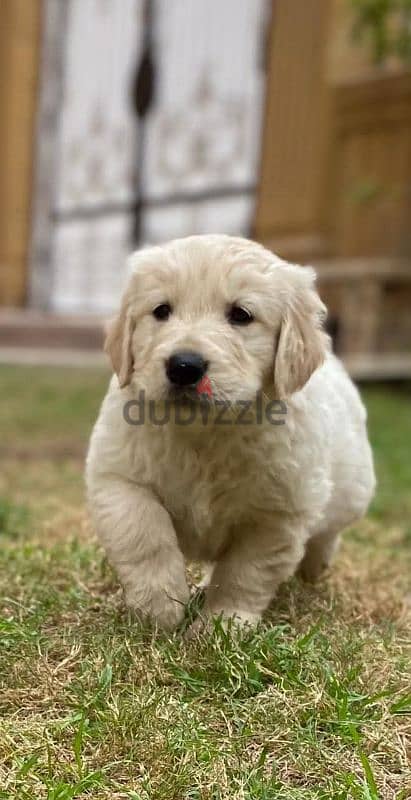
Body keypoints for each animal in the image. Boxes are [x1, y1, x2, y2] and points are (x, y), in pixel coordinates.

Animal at [87, 234, 376, 628]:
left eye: (241, 315)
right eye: (161, 311)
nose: (184, 366)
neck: (205, 432)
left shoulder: (278, 514)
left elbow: (244, 573)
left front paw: (223, 624)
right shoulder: (118, 477)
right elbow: (145, 535)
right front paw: (159, 608)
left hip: (353, 489)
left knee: (328, 531)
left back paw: (316, 565)